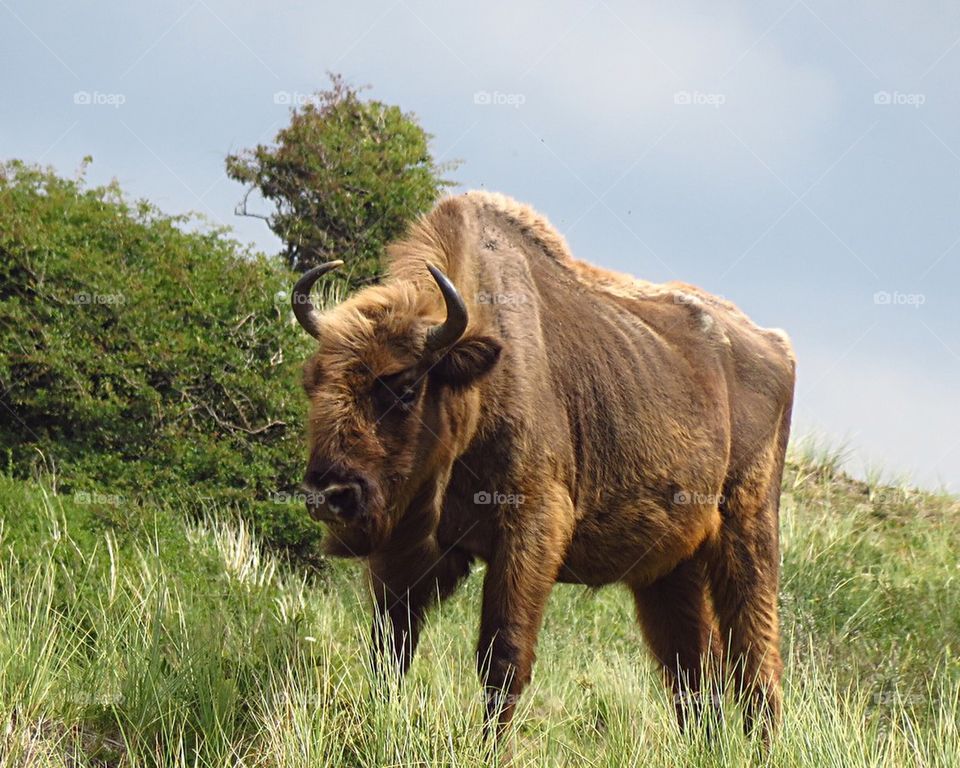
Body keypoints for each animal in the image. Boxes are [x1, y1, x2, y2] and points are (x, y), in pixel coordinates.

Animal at [292, 192, 796, 744]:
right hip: (669, 569)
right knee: (694, 671)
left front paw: (490, 749)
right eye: (311, 381)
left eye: (404, 388)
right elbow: (390, 647)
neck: (482, 377)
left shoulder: (531, 531)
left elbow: (503, 655)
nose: (330, 494)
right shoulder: (409, 551)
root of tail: (775, 344)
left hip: (748, 535)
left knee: (756, 658)